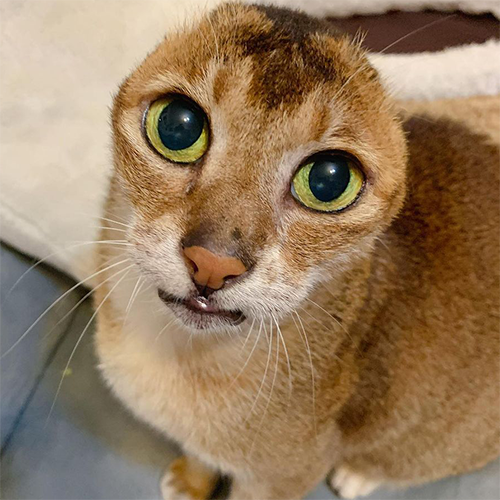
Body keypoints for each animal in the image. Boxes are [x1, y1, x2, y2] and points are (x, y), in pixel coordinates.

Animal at [93, 1, 500, 498]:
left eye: (328, 181)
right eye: (177, 127)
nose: (212, 263)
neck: (181, 354)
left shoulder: (282, 480)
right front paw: (190, 481)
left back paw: (358, 475)